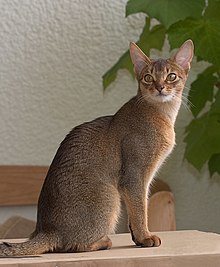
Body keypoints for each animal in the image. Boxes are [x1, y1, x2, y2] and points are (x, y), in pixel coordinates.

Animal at [0, 39, 192, 258]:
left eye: (171, 76)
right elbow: (140, 209)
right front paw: (145, 237)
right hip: (109, 196)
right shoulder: (134, 176)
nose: (160, 87)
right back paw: (103, 241)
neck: (161, 114)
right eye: (148, 77)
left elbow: (137, 209)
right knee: (71, 246)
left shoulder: (142, 179)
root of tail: (47, 230)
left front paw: (137, 238)